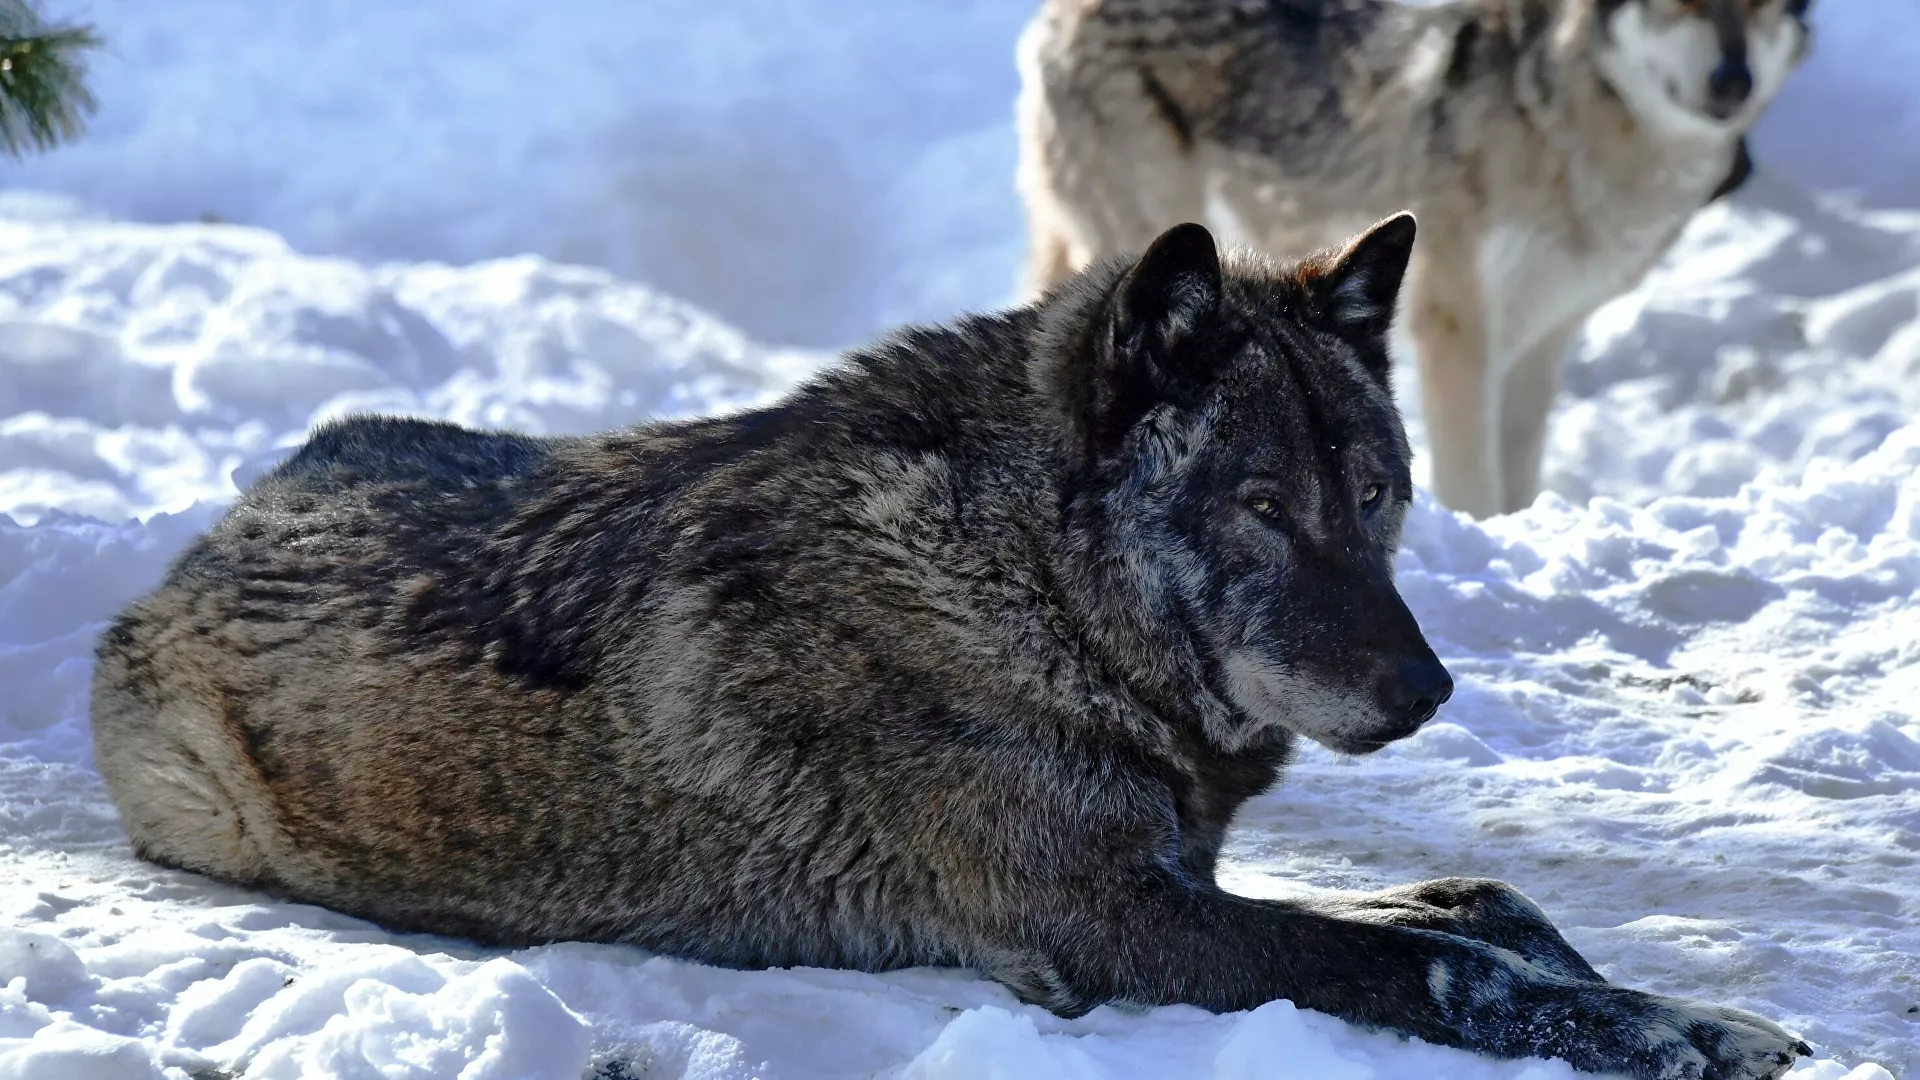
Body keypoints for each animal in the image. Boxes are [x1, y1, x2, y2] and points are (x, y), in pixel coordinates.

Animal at [86, 214, 1797, 1068]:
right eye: (1260, 506)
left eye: (1374, 496)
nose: (1429, 690)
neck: (1028, 592)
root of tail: (226, 518)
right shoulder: (1115, 926)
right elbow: (1436, 959)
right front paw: (1684, 1030)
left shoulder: (1176, 876)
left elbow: (1479, 901)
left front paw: (1695, 1009)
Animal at [1029, 0, 1804, 518]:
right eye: (1679, 3)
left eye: (1760, 7)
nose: (1733, 81)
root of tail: (1062, 15)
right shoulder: (1456, 326)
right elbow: (1475, 485)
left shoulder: (1542, 339)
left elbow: (1518, 473)